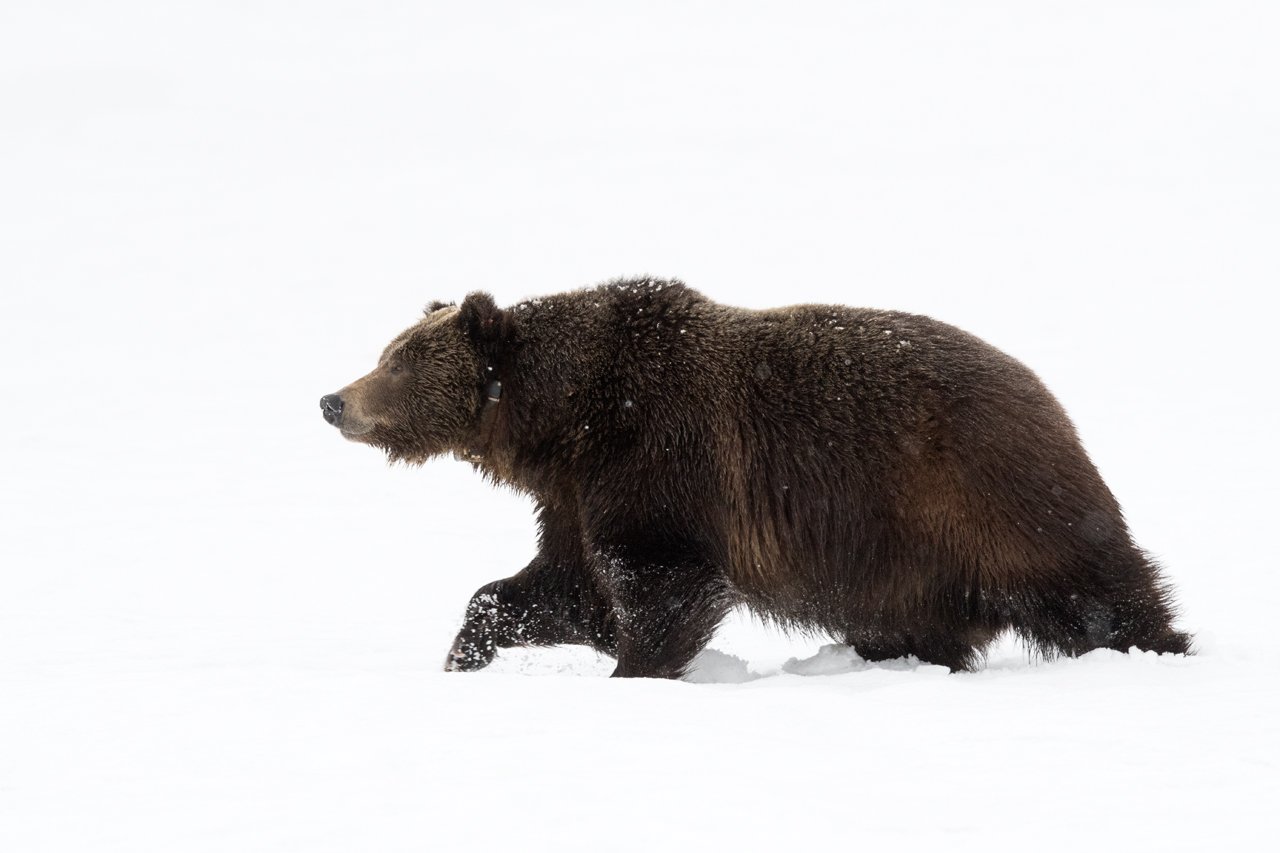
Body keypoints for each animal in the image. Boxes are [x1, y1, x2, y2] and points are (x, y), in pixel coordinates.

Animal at [320, 277, 1191, 678]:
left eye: (399, 361)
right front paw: (467, 650)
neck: (564, 421)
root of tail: (1046, 393)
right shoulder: (573, 496)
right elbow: (554, 586)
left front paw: (634, 665)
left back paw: (1157, 644)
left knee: (1089, 581)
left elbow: (663, 579)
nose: (334, 400)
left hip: (981, 493)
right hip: (909, 560)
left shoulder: (658, 457)